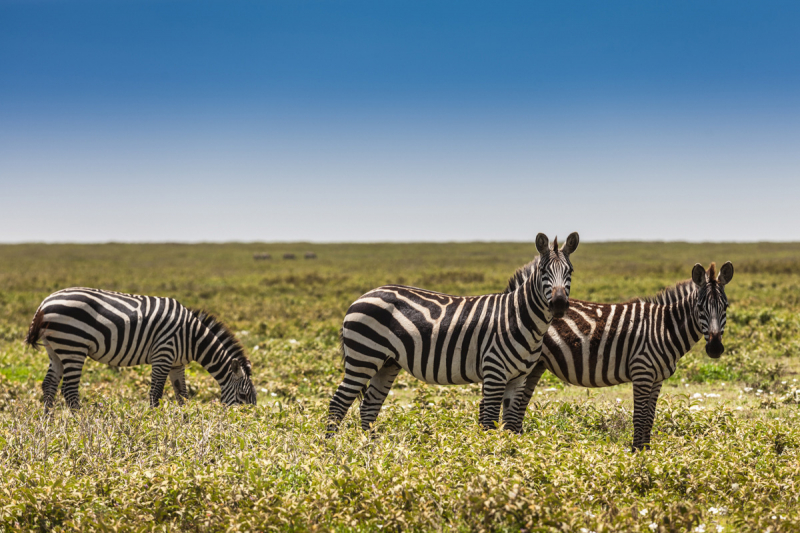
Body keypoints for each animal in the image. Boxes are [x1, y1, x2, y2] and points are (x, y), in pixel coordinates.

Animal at [24, 288, 256, 410]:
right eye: (243, 396)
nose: (246, 426)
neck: (192, 337)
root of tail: (44, 304)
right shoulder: (164, 354)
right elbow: (156, 393)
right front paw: (154, 420)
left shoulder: (177, 364)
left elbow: (182, 393)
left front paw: (185, 418)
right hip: (74, 345)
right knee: (69, 389)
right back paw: (78, 421)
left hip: (55, 349)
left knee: (49, 384)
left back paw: (48, 421)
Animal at [326, 231, 580, 434]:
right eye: (543, 270)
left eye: (570, 271)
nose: (558, 304)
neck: (518, 317)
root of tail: (361, 297)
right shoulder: (494, 372)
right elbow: (489, 420)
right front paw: (490, 456)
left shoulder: (518, 378)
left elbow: (509, 423)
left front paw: (511, 454)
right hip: (364, 356)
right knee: (338, 403)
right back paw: (331, 449)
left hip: (387, 362)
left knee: (369, 406)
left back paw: (371, 449)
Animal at [504, 262, 736, 448]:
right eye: (700, 307)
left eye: (725, 306)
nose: (715, 348)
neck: (664, 328)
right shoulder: (642, 372)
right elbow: (640, 418)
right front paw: (637, 454)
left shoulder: (657, 378)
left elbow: (649, 418)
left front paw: (647, 452)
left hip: (537, 366)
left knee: (519, 409)